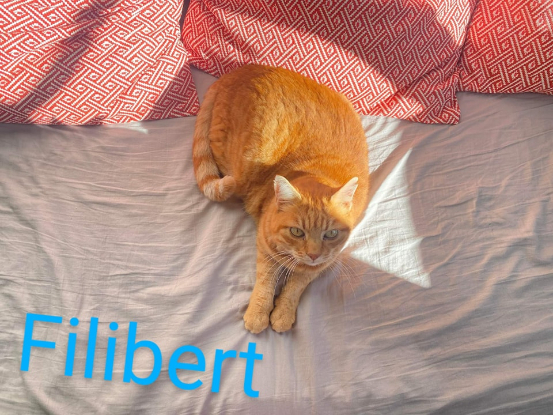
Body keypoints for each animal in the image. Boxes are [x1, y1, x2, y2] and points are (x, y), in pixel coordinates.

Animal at [193, 64, 369, 334]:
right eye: (297, 232)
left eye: (330, 234)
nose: (313, 254)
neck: (316, 171)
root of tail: (240, 71)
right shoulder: (265, 248)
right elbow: (266, 282)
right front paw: (258, 314)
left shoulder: (320, 265)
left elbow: (295, 286)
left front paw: (283, 313)